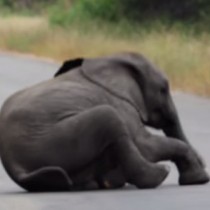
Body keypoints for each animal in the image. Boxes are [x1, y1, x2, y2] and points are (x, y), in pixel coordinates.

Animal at [0, 53, 208, 192]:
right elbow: (145, 144)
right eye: (163, 89)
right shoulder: (119, 102)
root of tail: (16, 167)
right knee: (109, 117)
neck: (112, 59)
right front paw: (198, 179)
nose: (204, 164)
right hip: (52, 141)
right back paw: (159, 174)